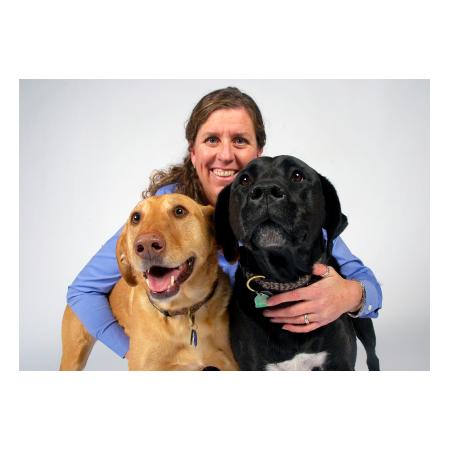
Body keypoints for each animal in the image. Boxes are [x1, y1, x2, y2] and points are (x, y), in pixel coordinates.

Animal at [60, 194, 238, 370]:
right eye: (135, 218)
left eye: (179, 211)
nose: (146, 245)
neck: (181, 312)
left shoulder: (230, 365)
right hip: (73, 356)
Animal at [214, 155, 379, 370]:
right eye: (244, 180)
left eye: (298, 175)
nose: (265, 190)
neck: (285, 280)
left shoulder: (339, 363)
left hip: (363, 320)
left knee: (372, 355)